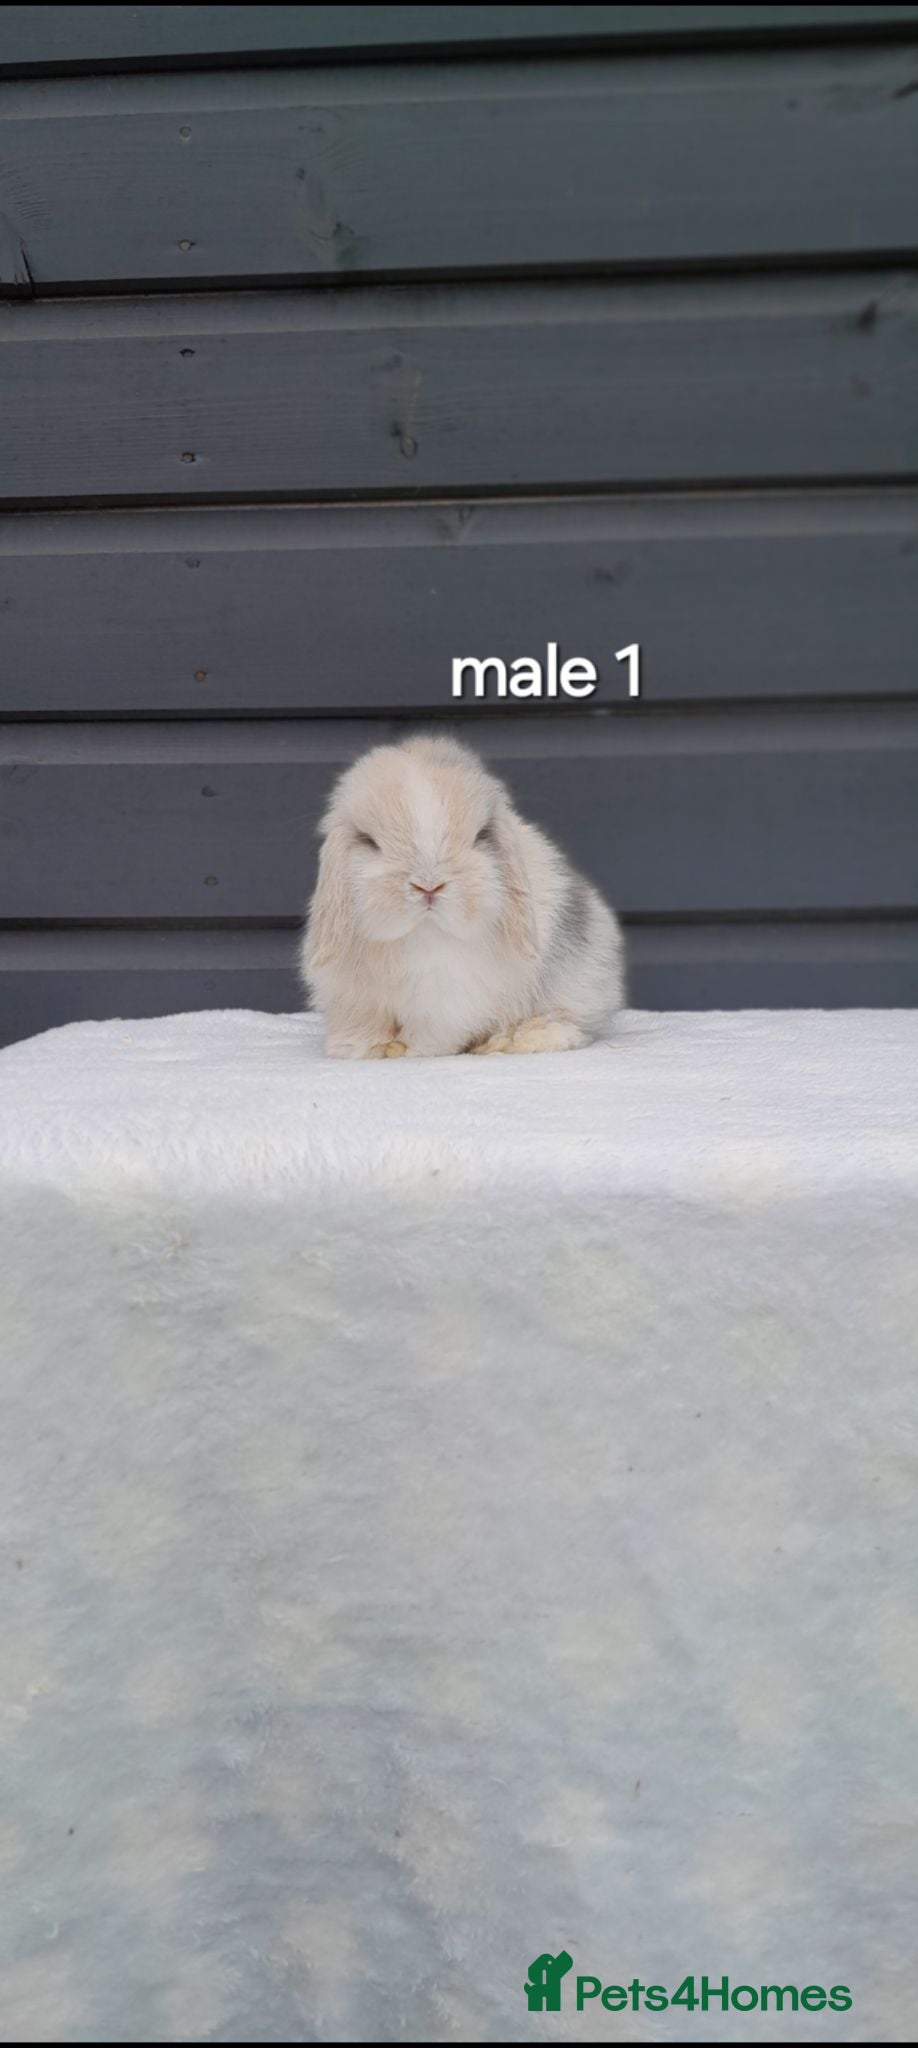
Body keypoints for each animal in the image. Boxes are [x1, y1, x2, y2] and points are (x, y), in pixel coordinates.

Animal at [300, 734, 625, 1058]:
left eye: (480, 836)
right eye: (368, 841)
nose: (429, 886)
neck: (425, 937)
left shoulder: (447, 1004)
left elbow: (431, 1034)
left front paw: (410, 1051)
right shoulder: (354, 1001)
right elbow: (364, 1028)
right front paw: (359, 1049)